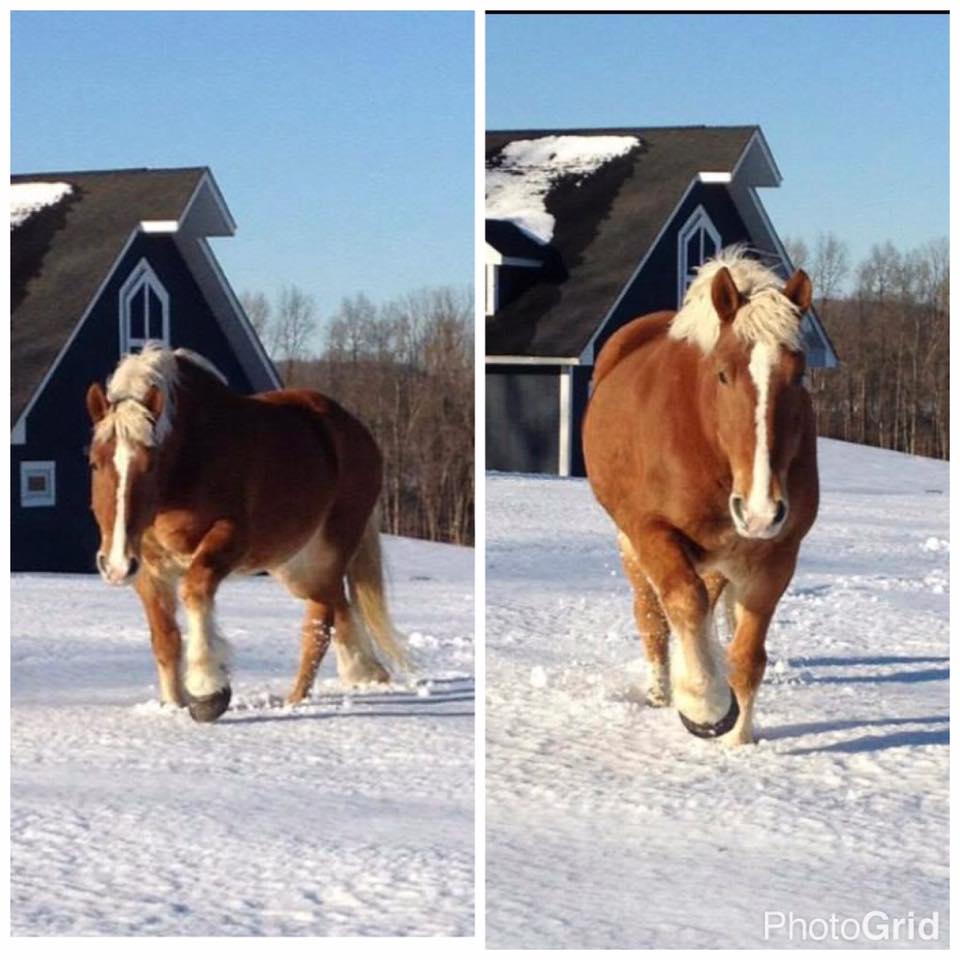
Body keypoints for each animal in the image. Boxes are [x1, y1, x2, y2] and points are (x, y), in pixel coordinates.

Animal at [83, 344, 408, 720]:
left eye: (151, 466)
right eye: (94, 462)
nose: (116, 565)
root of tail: (358, 433)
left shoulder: (228, 540)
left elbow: (195, 590)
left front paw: (207, 691)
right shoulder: (149, 569)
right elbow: (166, 639)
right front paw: (175, 704)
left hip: (328, 552)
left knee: (320, 622)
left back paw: (296, 701)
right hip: (295, 566)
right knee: (336, 605)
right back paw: (363, 672)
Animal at [580, 246, 820, 744]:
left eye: (799, 373)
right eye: (724, 374)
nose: (761, 511)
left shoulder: (776, 555)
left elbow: (746, 657)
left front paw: (738, 738)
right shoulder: (652, 531)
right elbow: (684, 606)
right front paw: (705, 707)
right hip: (630, 542)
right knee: (652, 616)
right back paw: (660, 690)